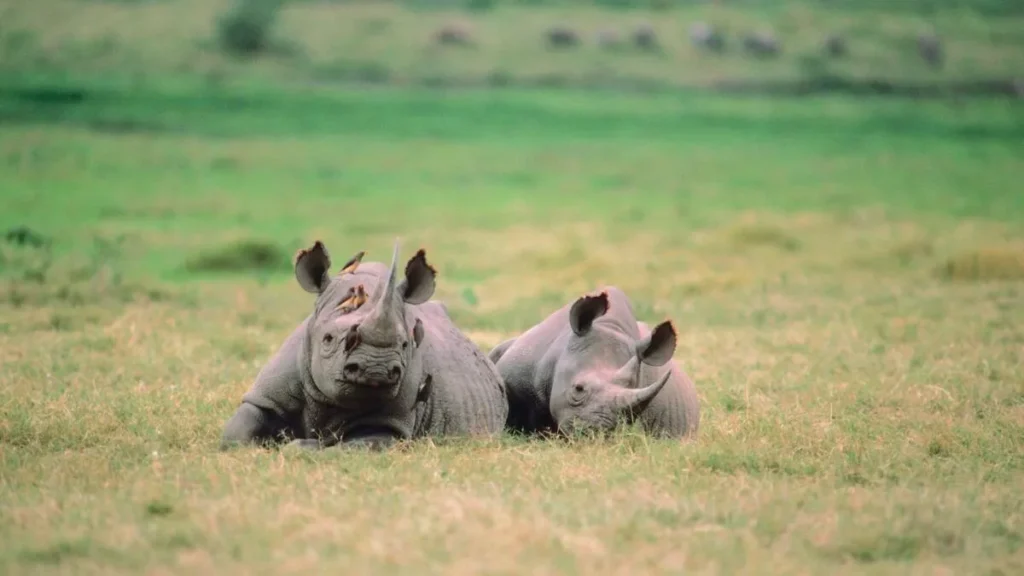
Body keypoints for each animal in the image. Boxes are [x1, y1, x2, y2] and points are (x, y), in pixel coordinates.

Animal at [220, 240, 508, 450]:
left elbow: (352, 447)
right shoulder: (267, 395)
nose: (376, 369)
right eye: (328, 339)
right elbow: (235, 435)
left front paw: (301, 446)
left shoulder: (390, 423)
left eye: (406, 344)